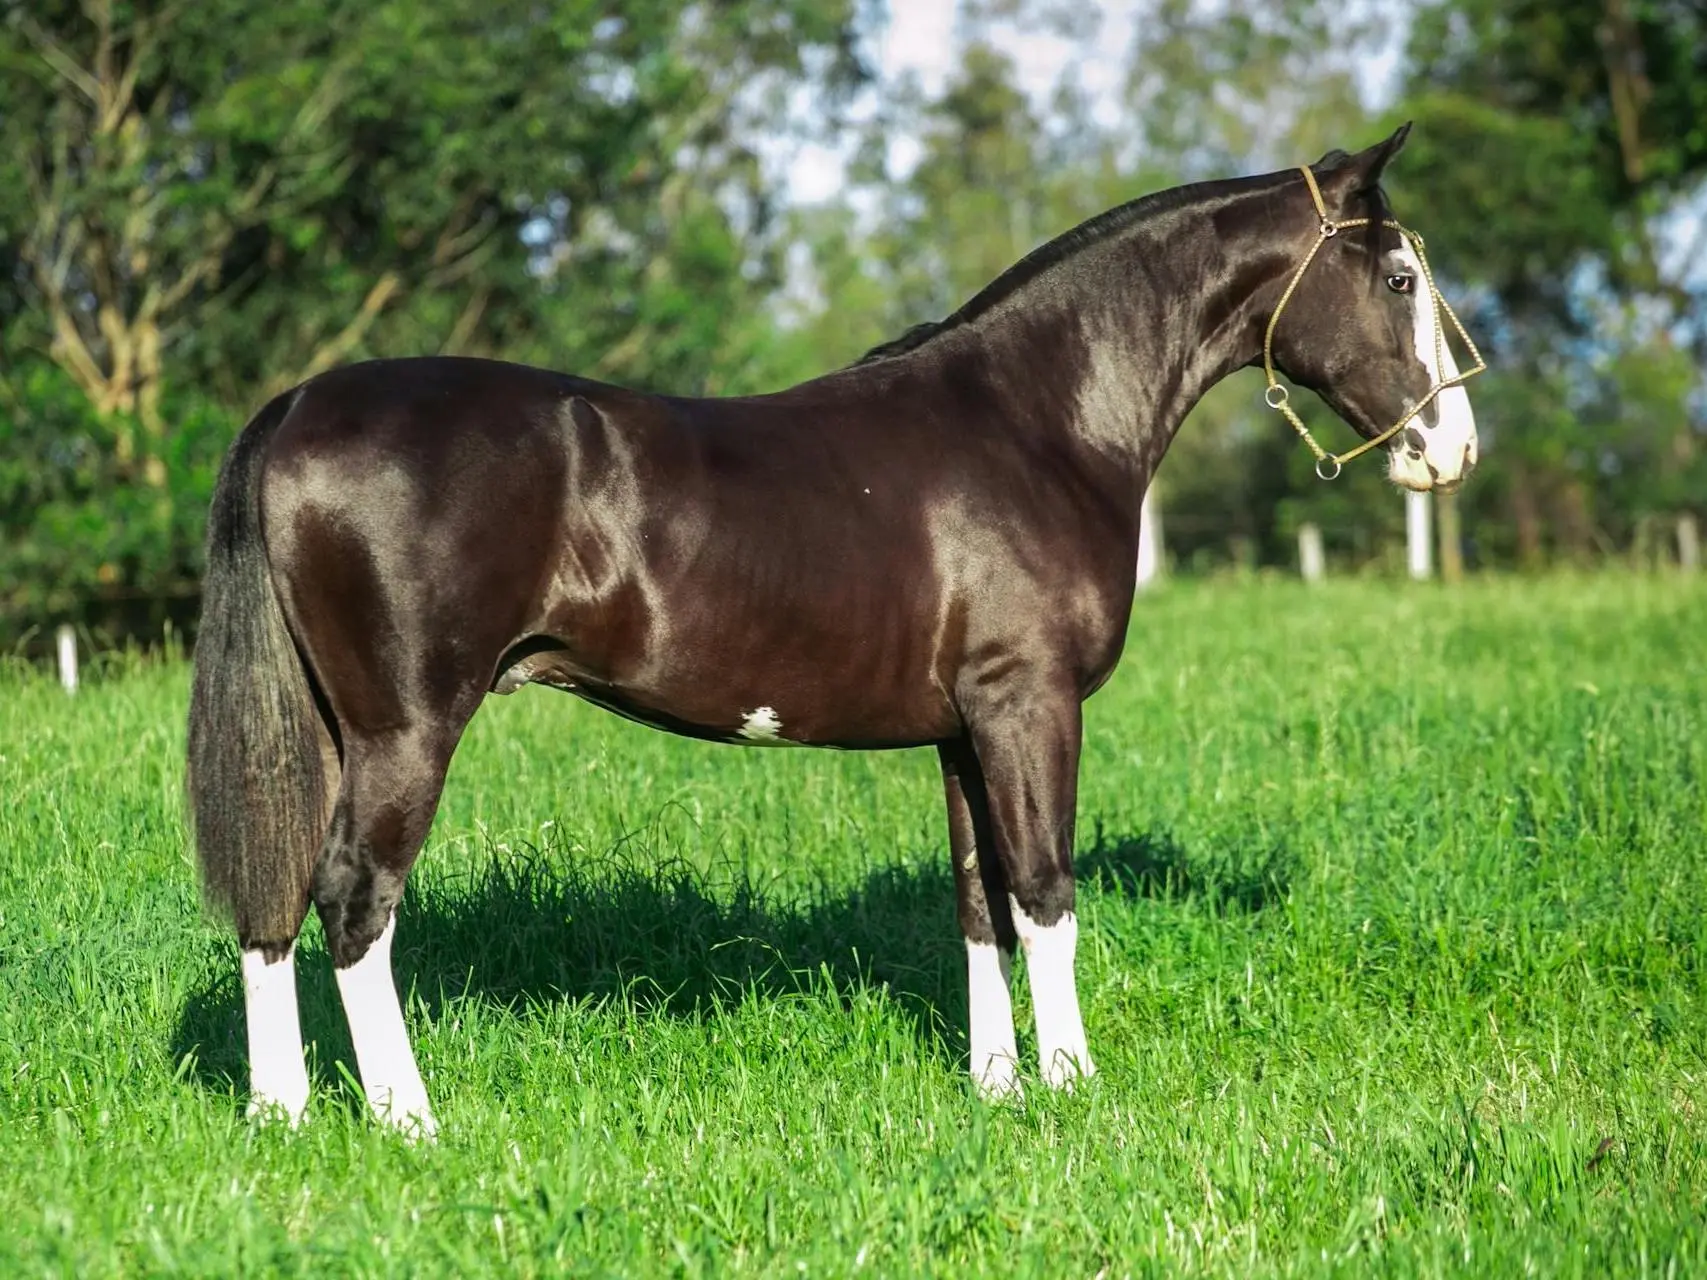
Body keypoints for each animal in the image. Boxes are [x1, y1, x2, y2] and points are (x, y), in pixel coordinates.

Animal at [186, 125, 1481, 1140]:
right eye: (1399, 276)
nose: (1452, 448)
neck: (1037, 421)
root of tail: (295, 405)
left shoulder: (966, 728)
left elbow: (979, 899)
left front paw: (999, 1088)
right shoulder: (1031, 705)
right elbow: (1046, 890)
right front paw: (1073, 1088)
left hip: (324, 729)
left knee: (276, 893)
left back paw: (279, 1110)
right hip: (406, 728)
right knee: (355, 896)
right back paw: (408, 1117)